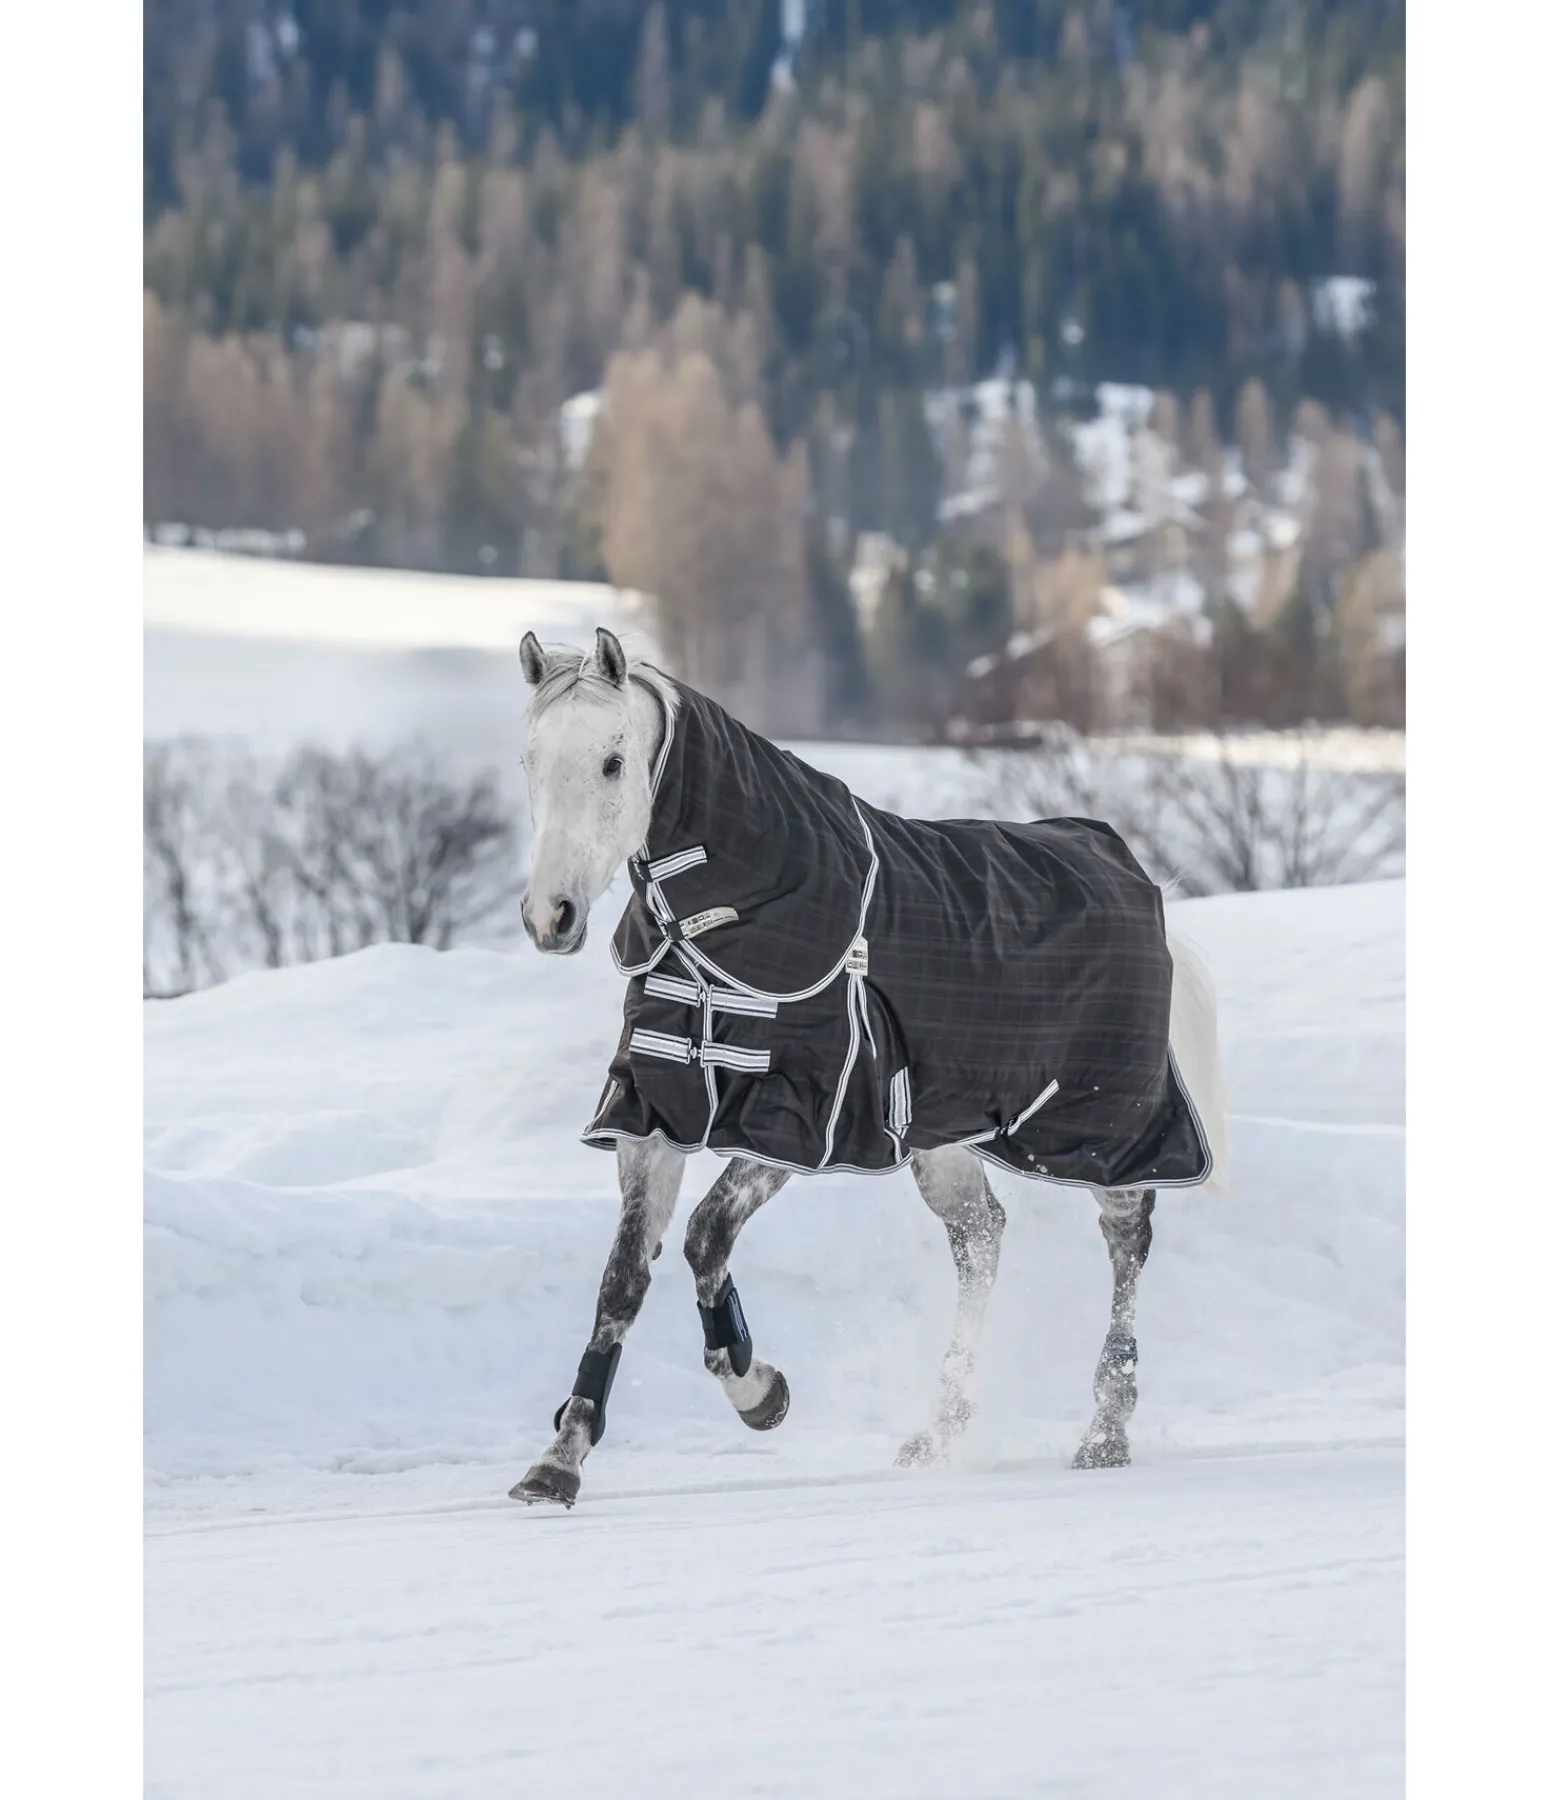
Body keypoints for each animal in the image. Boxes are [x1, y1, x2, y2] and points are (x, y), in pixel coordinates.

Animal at [510, 627, 1227, 1507]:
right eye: (530, 759)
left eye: (613, 760)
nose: (550, 917)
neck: (727, 928)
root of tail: (1136, 877)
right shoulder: (656, 1113)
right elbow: (621, 1284)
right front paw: (559, 1461)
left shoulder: (796, 1114)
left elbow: (706, 1239)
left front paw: (761, 1394)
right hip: (946, 1141)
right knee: (981, 1239)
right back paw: (941, 1429)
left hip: (1102, 1132)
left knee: (1127, 1239)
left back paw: (1105, 1430)